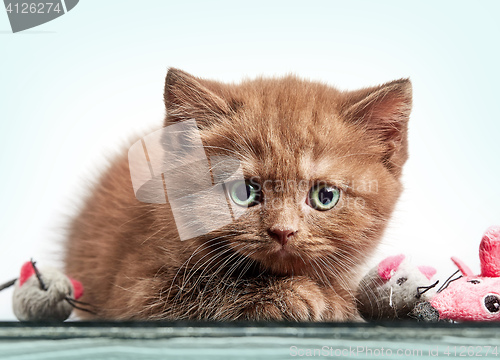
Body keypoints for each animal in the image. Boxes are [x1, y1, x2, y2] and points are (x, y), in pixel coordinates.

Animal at [64, 68, 412, 320]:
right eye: (244, 192)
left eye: (324, 196)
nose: (283, 231)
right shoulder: (135, 292)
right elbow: (205, 286)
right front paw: (297, 294)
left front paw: (338, 300)